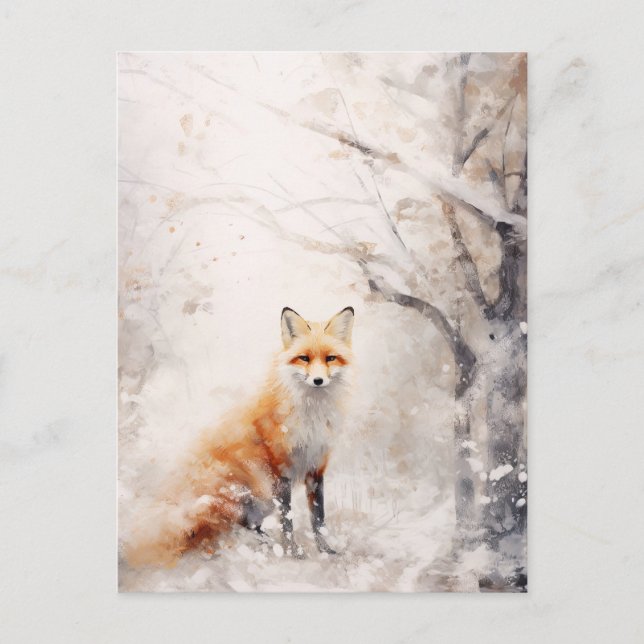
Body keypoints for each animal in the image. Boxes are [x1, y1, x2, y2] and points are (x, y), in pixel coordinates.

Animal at [124, 306, 355, 567]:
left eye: (330, 358)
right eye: (304, 358)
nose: (318, 380)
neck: (311, 415)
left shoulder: (316, 467)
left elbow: (318, 519)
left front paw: (326, 550)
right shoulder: (281, 469)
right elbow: (288, 520)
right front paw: (292, 552)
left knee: (248, 525)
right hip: (247, 492)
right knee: (235, 527)